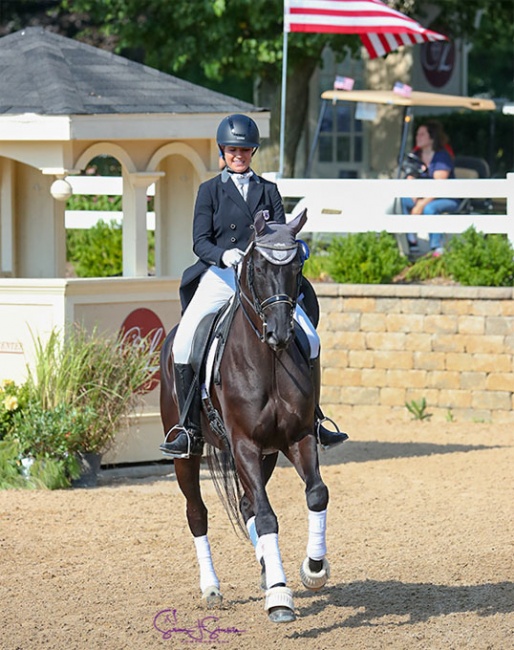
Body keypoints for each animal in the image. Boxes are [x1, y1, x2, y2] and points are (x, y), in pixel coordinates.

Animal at [158, 210, 330, 620]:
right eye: (258, 266)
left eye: (297, 266)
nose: (279, 333)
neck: (267, 361)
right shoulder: (245, 445)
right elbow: (267, 516)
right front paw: (280, 597)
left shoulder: (297, 438)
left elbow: (316, 493)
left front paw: (313, 569)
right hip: (188, 454)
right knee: (197, 513)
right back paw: (212, 587)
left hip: (265, 455)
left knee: (248, 503)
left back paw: (268, 567)